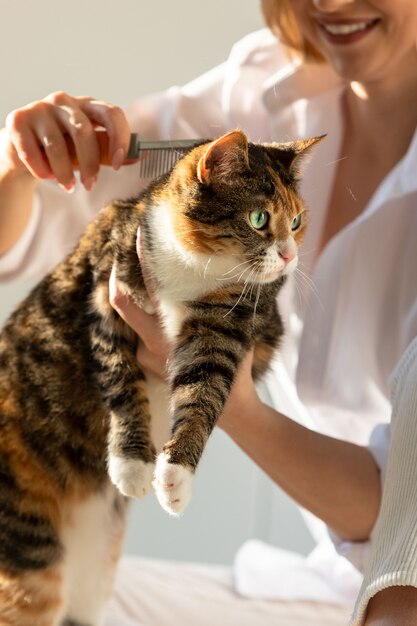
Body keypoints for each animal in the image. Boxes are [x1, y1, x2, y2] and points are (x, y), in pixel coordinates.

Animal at [0, 129, 320, 620]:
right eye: (259, 218)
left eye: (298, 220)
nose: (289, 255)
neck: (193, 266)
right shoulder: (108, 290)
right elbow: (121, 382)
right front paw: (133, 463)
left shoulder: (227, 323)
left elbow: (205, 392)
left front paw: (175, 477)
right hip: (31, 553)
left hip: (96, 572)